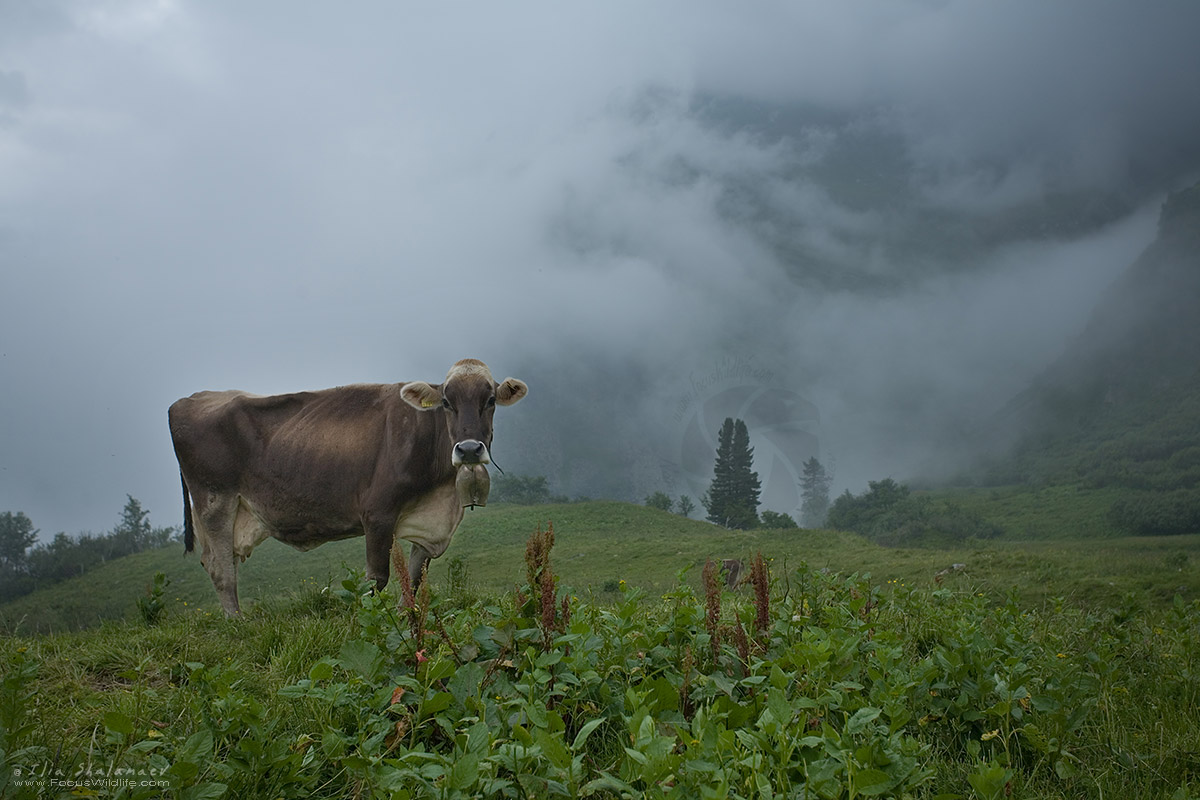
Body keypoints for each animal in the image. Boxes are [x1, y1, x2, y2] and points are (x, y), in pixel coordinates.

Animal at [169, 359, 525, 618]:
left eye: (490, 400)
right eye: (447, 402)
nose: (469, 449)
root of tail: (189, 400)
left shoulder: (430, 521)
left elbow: (413, 578)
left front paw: (408, 618)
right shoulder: (378, 514)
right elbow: (376, 580)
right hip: (215, 500)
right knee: (221, 568)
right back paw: (237, 622)